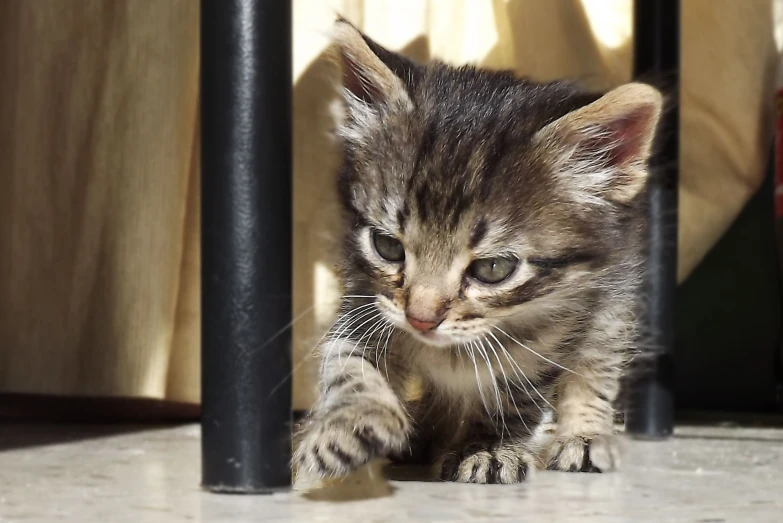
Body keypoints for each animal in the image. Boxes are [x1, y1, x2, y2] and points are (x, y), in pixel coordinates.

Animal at [294, 19, 660, 488]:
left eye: (493, 268)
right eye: (387, 246)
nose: (421, 319)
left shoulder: (555, 334)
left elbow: (517, 395)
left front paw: (489, 447)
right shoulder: (365, 300)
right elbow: (347, 363)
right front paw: (347, 424)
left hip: (614, 302)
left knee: (597, 366)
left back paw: (584, 435)